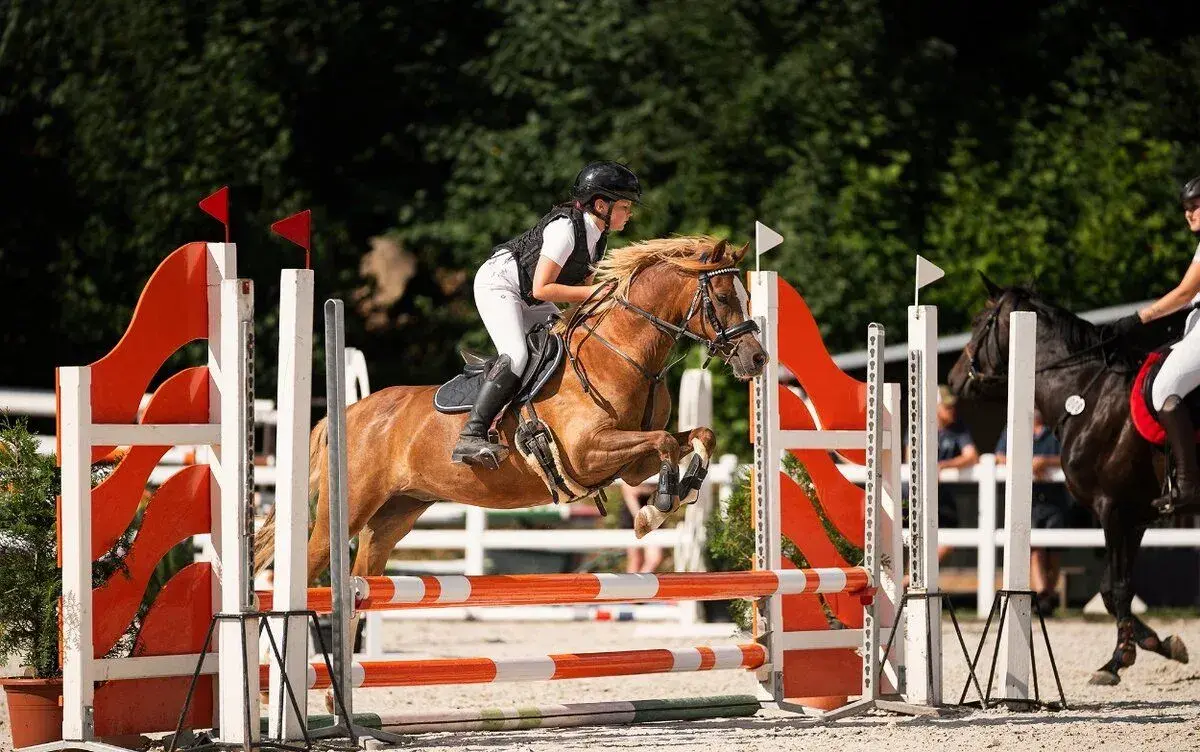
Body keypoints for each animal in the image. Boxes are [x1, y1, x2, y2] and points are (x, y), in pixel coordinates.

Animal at [252, 235, 767, 611]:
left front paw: (682, 491)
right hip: (348, 508)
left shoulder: (628, 465)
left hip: (395, 515)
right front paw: (656, 509)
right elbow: (662, 441)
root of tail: (349, 413)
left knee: (364, 573)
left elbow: (696, 436)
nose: (758, 359)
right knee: (308, 564)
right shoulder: (589, 453)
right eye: (724, 297)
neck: (621, 354)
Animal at [947, 275, 1190, 686]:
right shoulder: (1136, 514)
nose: (952, 380)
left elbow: (1116, 588)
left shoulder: (1113, 508)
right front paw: (1157, 644)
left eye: (980, 321)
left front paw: (1120, 658)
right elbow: (1113, 588)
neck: (1086, 395)